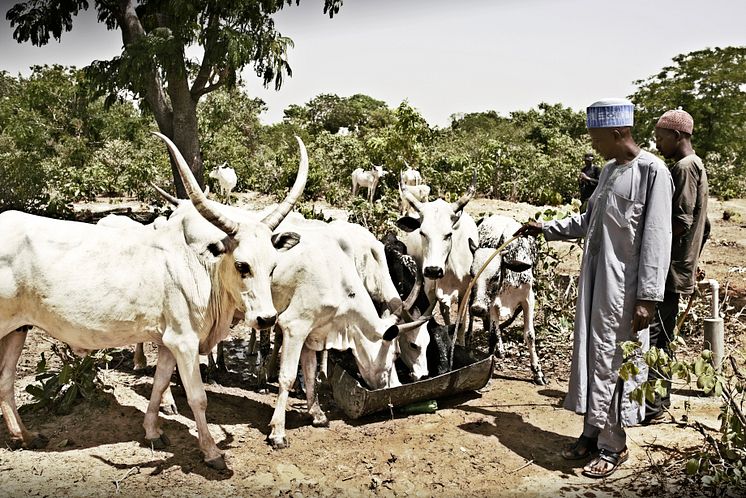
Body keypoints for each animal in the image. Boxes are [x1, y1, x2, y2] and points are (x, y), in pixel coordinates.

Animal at [0, 134, 306, 468]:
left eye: (273, 265)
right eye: (242, 265)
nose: (266, 319)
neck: (198, 267)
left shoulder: (168, 342)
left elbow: (159, 385)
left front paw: (152, 432)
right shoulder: (184, 342)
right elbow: (198, 398)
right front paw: (211, 451)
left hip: (18, 329)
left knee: (5, 380)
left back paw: (24, 435)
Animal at [398, 177, 480, 352]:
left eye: (448, 234)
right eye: (422, 233)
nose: (433, 270)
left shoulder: (465, 291)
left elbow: (461, 324)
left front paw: (460, 344)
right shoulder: (430, 291)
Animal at [468, 214, 544, 386]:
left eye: (496, 276)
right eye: (472, 273)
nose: (477, 308)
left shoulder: (528, 299)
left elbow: (530, 335)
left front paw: (538, 372)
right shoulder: (492, 303)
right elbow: (493, 332)